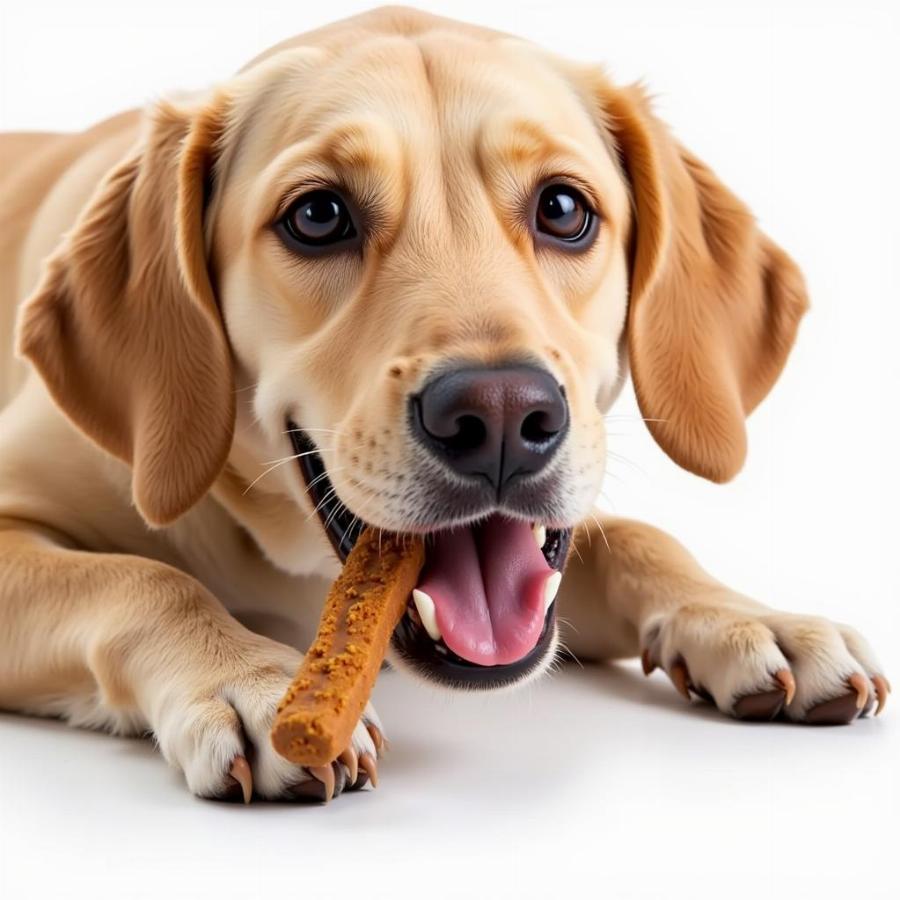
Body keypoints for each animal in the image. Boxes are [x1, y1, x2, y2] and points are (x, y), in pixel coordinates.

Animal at [0, 3, 884, 800]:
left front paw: (748, 617)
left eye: (563, 208)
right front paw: (246, 678)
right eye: (317, 215)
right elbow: (144, 580)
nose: (500, 417)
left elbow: (635, 538)